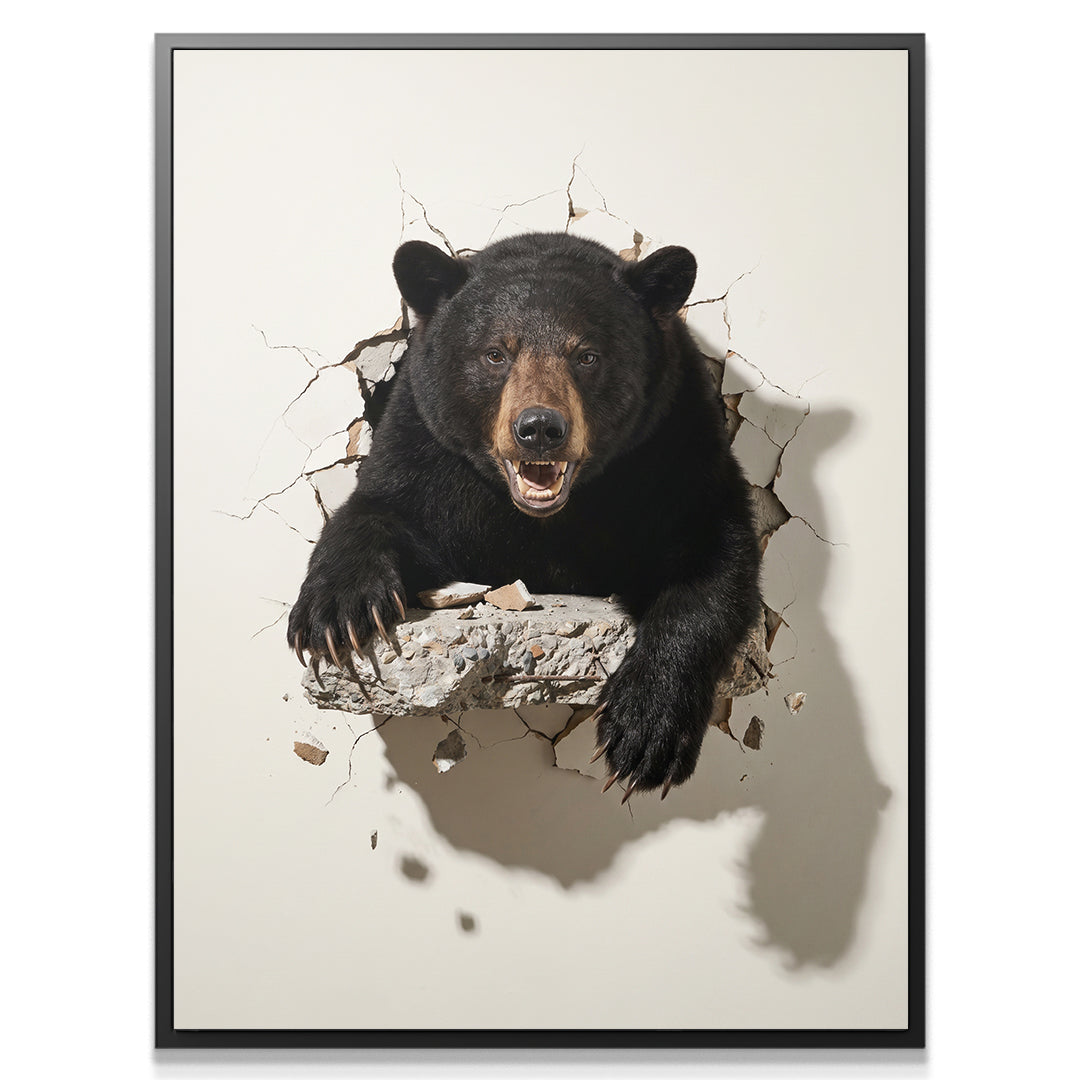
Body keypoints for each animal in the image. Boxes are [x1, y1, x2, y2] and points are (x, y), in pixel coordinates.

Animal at [287, 232, 761, 798]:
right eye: (496, 353)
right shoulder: (422, 445)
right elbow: (379, 509)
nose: (539, 428)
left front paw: (646, 732)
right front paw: (336, 613)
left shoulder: (674, 446)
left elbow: (712, 554)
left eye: (587, 355)